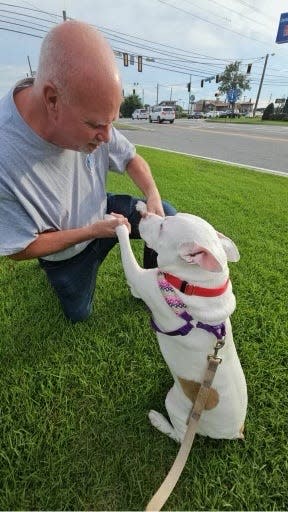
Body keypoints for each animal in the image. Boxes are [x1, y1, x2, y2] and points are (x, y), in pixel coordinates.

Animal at [112, 202, 248, 442]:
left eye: (162, 227)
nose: (144, 214)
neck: (197, 285)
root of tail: (235, 432)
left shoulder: (143, 279)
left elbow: (128, 255)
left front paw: (119, 226)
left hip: (174, 405)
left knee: (177, 436)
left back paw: (158, 420)